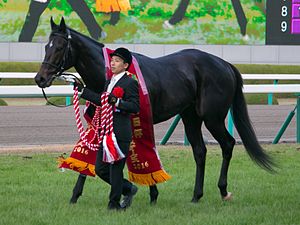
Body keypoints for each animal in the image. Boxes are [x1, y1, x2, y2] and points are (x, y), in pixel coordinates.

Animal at [35, 17, 274, 204]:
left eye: (58, 47)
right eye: (46, 47)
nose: (40, 78)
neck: (109, 75)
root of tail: (225, 64)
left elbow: (135, 158)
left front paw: (138, 192)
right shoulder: (103, 123)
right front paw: (75, 195)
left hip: (212, 117)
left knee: (228, 144)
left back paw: (223, 190)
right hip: (190, 117)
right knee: (200, 151)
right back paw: (196, 195)